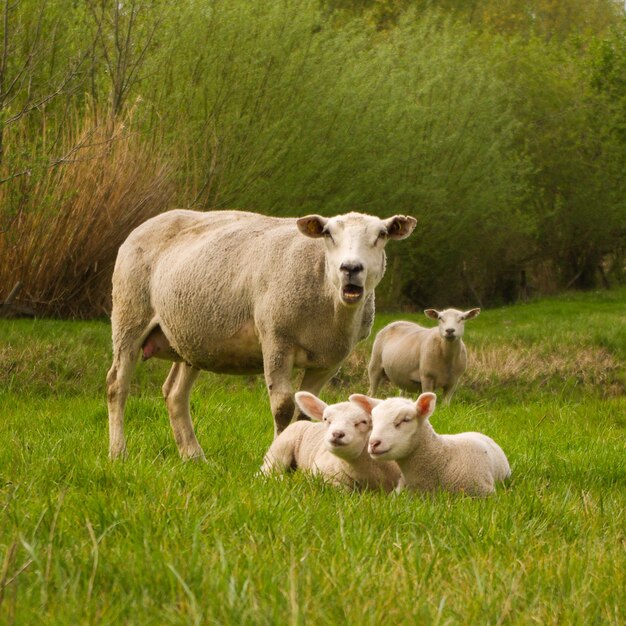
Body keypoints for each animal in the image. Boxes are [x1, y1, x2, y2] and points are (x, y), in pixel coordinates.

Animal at [106, 210, 414, 458]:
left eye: (382, 234)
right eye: (328, 234)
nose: (351, 268)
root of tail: (149, 222)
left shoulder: (329, 362)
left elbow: (306, 411)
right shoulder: (276, 340)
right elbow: (283, 407)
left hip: (190, 338)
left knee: (174, 394)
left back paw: (193, 456)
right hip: (129, 315)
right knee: (116, 385)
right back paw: (118, 452)